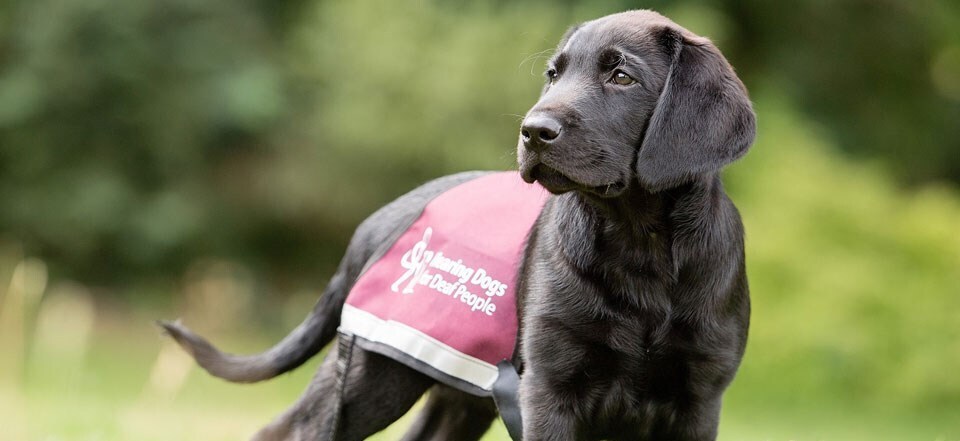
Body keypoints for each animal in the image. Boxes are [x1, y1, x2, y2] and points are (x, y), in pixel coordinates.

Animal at [159, 10, 756, 440]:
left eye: (622, 75)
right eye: (554, 74)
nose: (532, 130)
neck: (639, 245)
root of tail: (373, 224)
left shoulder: (699, 398)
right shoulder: (548, 387)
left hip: (461, 390)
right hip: (370, 371)